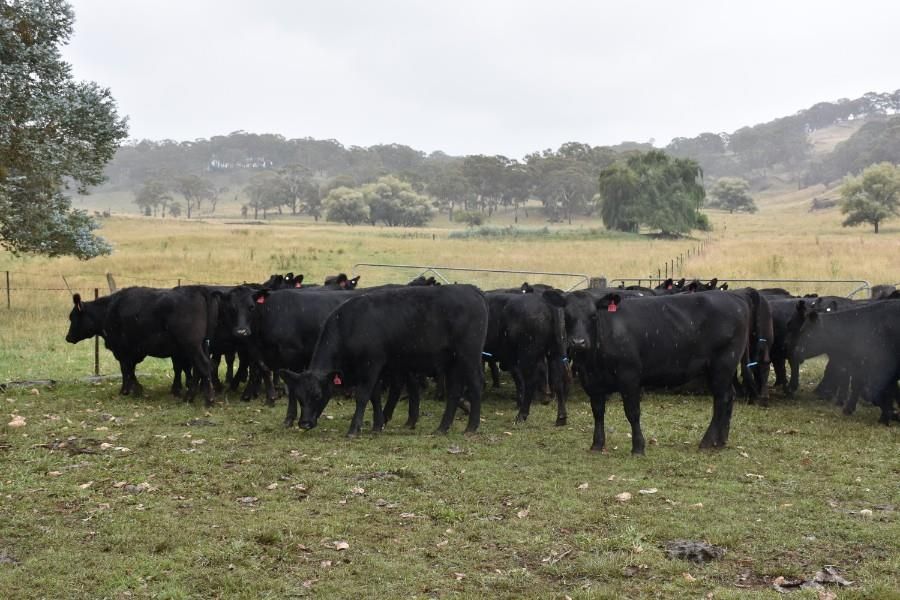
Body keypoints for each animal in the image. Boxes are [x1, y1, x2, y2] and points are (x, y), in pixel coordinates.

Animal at [65, 286, 219, 405]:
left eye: (73, 317)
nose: (68, 337)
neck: (108, 310)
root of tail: (198, 290)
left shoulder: (122, 350)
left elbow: (126, 370)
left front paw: (128, 390)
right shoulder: (132, 351)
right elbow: (130, 369)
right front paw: (133, 389)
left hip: (191, 346)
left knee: (203, 366)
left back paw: (208, 399)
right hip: (201, 345)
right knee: (200, 368)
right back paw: (191, 397)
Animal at [280, 284, 489, 436]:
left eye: (317, 395)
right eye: (299, 397)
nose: (305, 423)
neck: (350, 325)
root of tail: (471, 290)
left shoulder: (371, 364)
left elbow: (363, 395)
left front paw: (354, 429)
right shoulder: (375, 368)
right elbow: (375, 396)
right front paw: (377, 425)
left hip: (468, 355)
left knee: (476, 384)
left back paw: (471, 427)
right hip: (453, 361)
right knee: (454, 390)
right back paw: (442, 428)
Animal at [544, 290, 750, 454]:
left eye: (593, 315)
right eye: (567, 315)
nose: (578, 342)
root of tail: (734, 296)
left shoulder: (629, 377)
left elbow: (632, 412)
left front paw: (638, 447)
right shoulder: (591, 381)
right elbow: (598, 412)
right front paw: (597, 444)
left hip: (723, 364)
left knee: (721, 400)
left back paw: (707, 442)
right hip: (720, 369)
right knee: (729, 396)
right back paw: (720, 441)